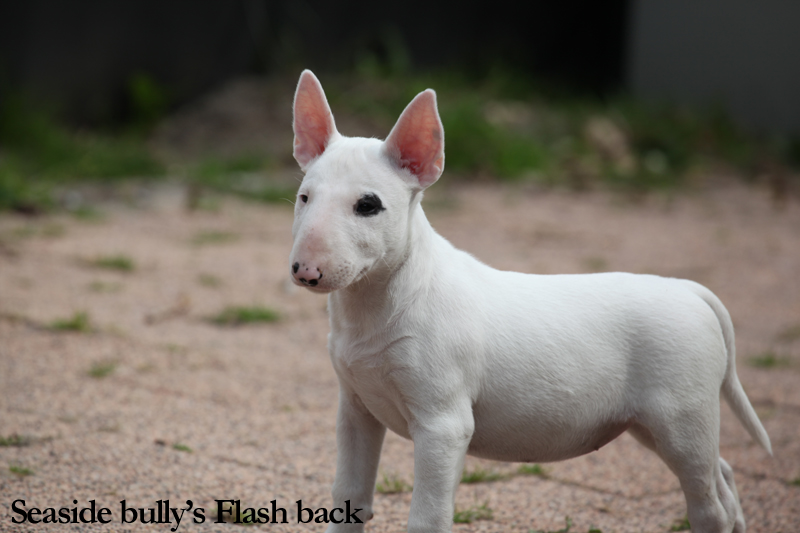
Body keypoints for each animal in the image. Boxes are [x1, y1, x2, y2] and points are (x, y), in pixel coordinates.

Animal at [286, 70, 768, 532]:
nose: (305, 272)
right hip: (652, 425)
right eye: (303, 197)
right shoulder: (356, 410)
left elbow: (427, 517)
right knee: (722, 475)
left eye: (368, 205)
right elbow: (349, 497)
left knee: (709, 504)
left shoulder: (444, 424)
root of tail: (688, 289)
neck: (378, 303)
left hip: (681, 418)